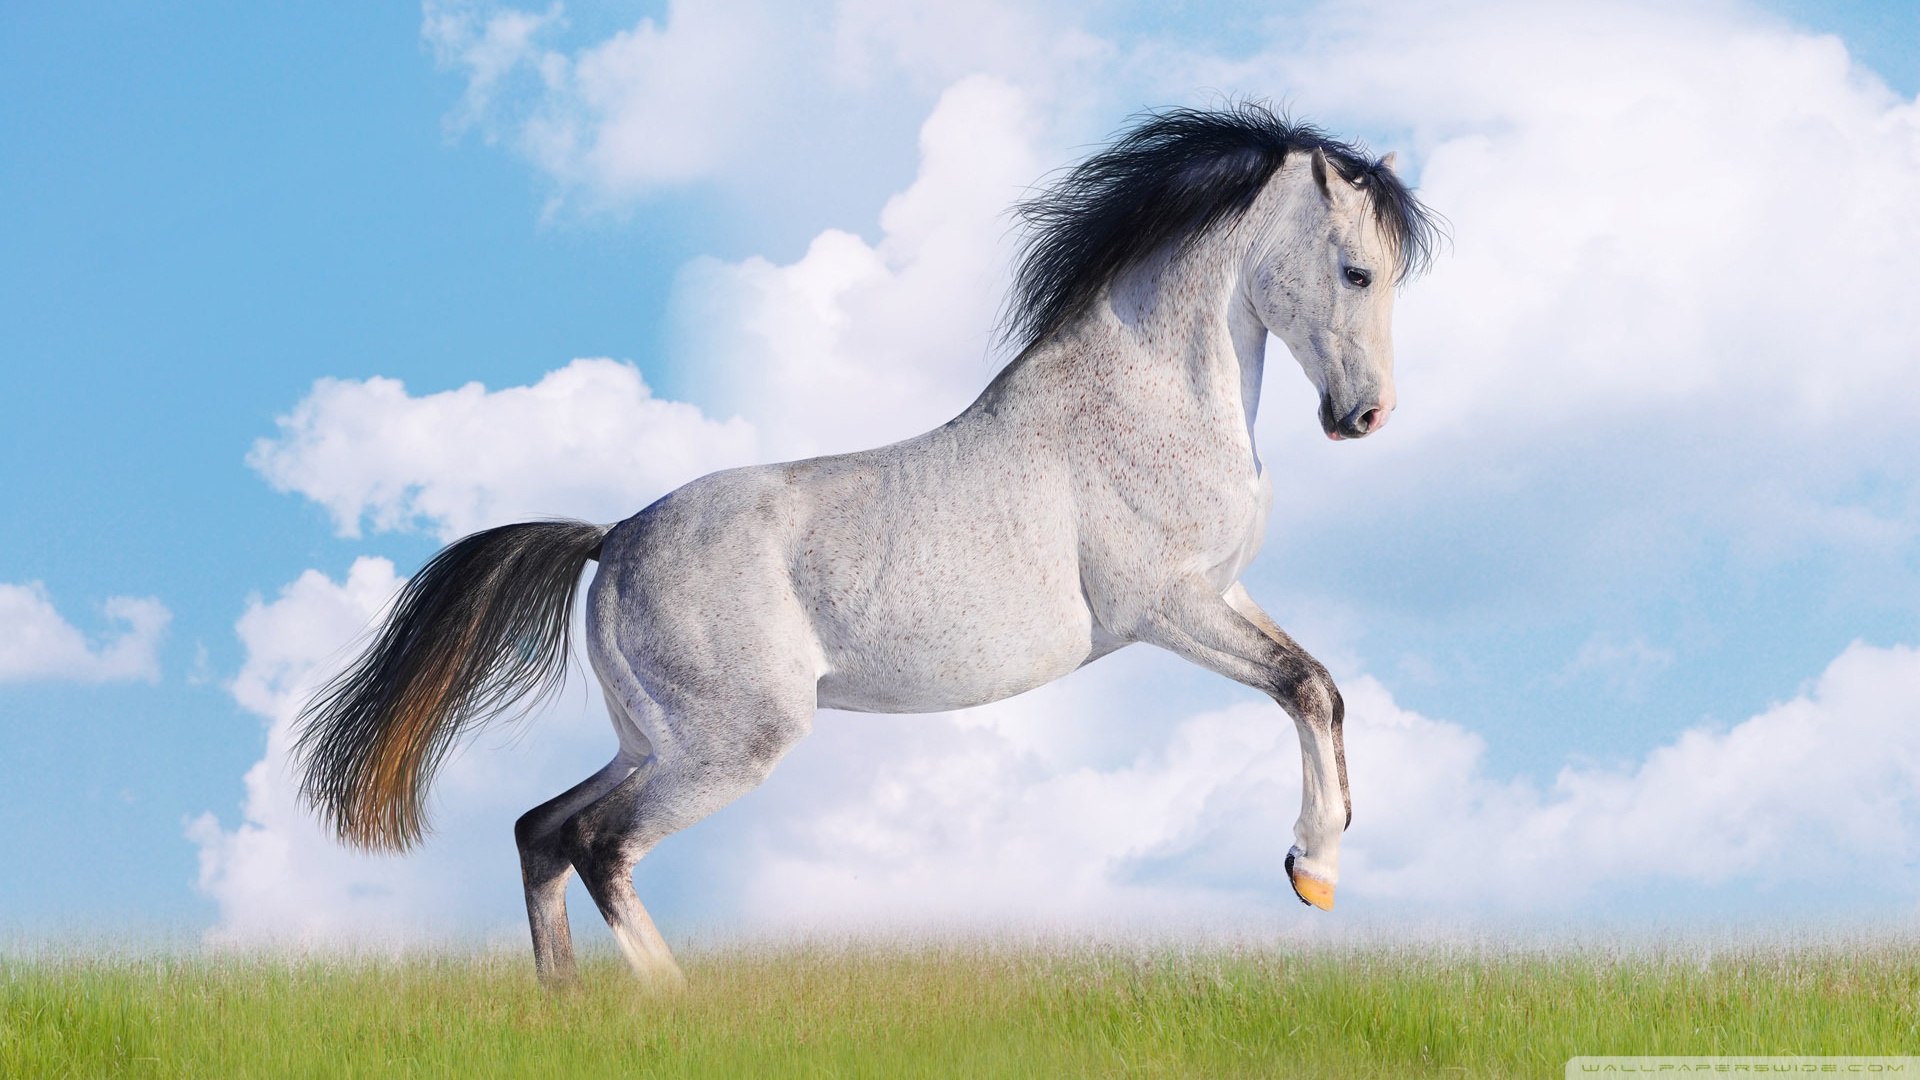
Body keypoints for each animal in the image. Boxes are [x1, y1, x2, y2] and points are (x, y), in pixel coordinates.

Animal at [293, 104, 1440, 987]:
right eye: (1356, 272)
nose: (1364, 417)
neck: (1147, 399)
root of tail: (611, 540)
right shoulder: (1165, 608)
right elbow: (1301, 686)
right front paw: (1312, 868)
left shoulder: (1221, 595)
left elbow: (1323, 686)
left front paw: (1319, 869)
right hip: (730, 745)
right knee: (597, 844)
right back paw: (672, 1008)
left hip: (654, 738)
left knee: (541, 829)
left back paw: (566, 1007)